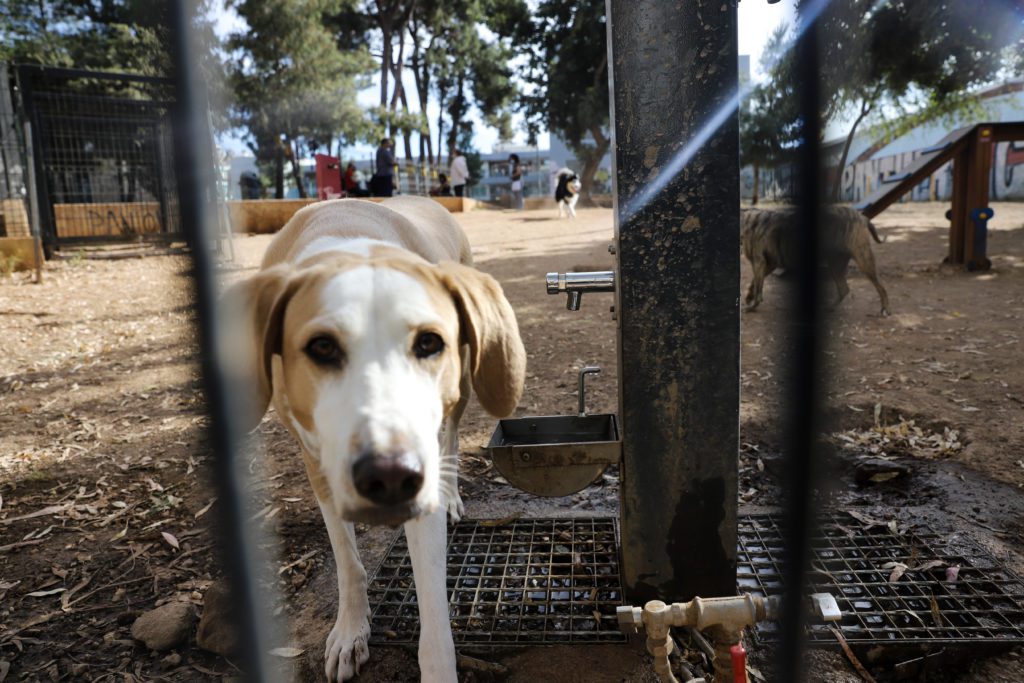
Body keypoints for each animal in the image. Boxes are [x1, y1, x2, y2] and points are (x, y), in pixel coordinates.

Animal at [225, 194, 528, 679]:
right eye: (322, 347)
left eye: (429, 342)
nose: (390, 476)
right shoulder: (317, 460)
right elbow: (347, 561)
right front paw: (351, 630)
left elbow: (433, 605)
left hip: (464, 384)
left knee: (452, 434)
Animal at [745, 205, 888, 317]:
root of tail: (862, 217)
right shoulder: (769, 264)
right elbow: (755, 282)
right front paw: (749, 296)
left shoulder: (760, 263)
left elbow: (758, 288)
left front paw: (752, 305)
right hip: (835, 266)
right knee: (844, 289)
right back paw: (829, 308)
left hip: (864, 261)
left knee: (881, 286)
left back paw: (885, 309)